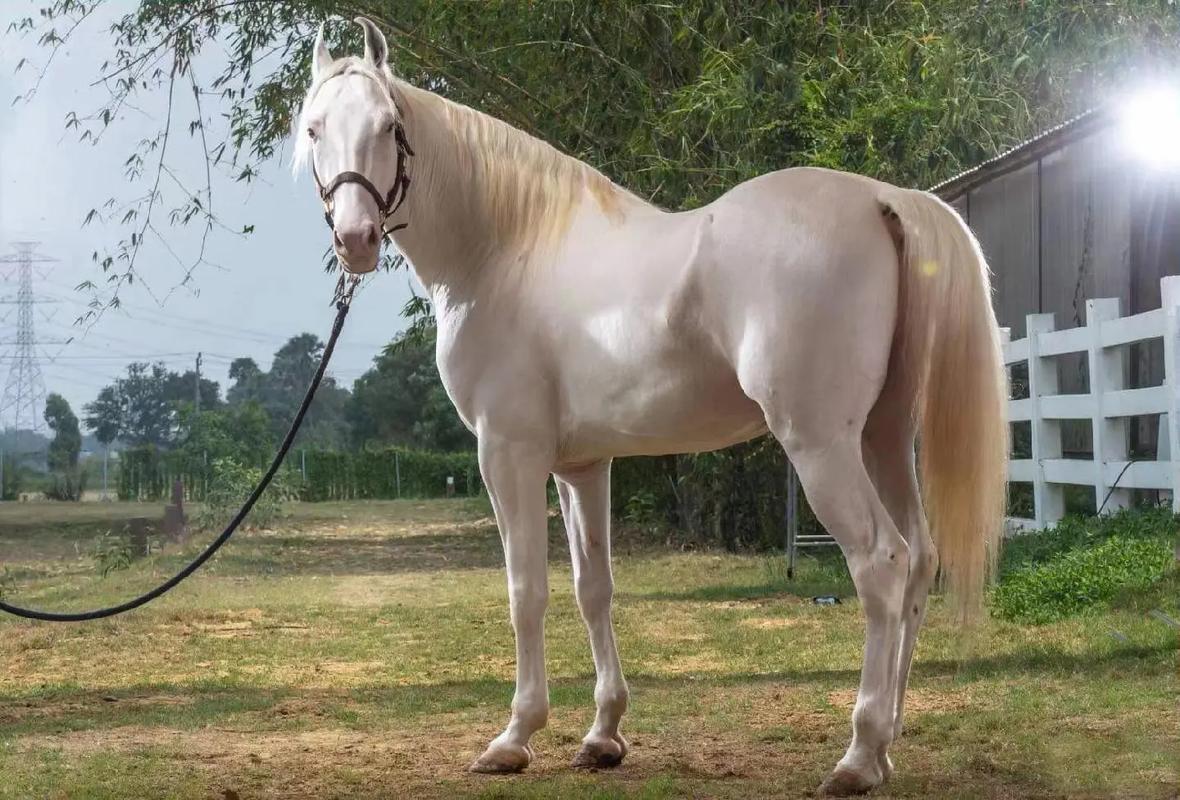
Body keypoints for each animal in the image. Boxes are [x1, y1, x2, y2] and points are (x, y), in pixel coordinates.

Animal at [295, 17, 1007, 796]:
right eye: (314, 129)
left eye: (390, 126)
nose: (355, 239)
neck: (503, 251)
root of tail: (881, 199)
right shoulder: (581, 466)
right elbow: (593, 587)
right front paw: (603, 735)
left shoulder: (506, 454)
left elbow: (525, 591)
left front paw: (514, 737)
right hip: (882, 436)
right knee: (919, 561)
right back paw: (885, 751)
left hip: (820, 445)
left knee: (881, 562)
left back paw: (856, 753)